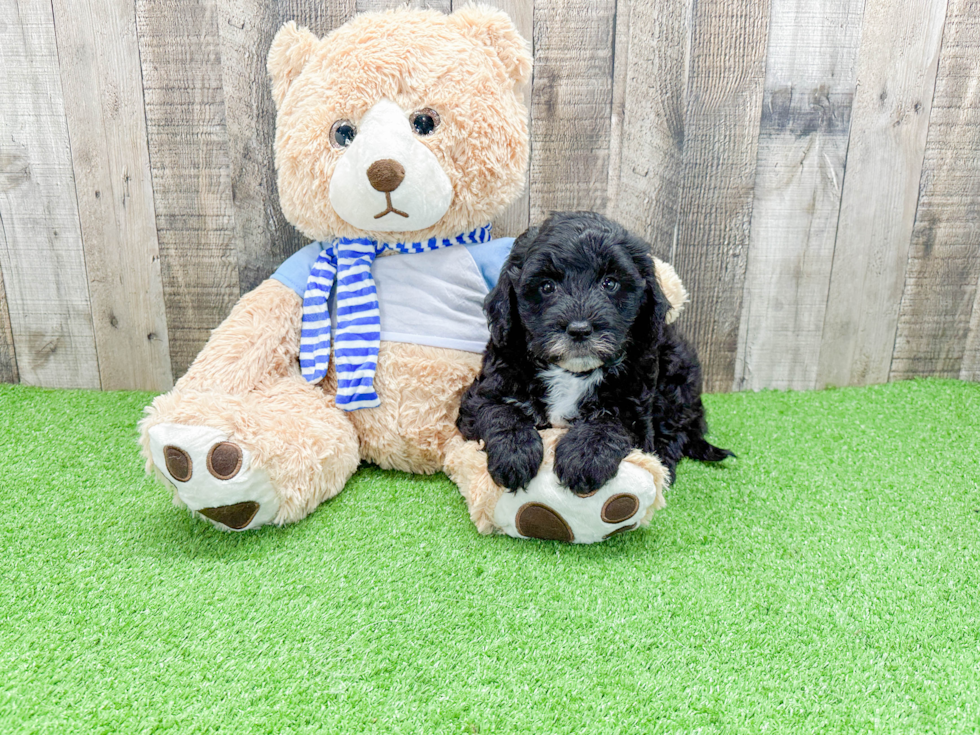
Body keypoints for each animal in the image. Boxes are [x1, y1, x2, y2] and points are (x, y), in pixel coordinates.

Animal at [458, 211, 728, 494]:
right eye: (546, 287)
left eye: (610, 283)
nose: (579, 329)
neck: (571, 372)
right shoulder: (483, 392)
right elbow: (500, 412)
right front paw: (514, 454)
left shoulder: (635, 406)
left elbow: (610, 422)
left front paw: (585, 457)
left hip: (677, 370)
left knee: (676, 429)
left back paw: (663, 465)